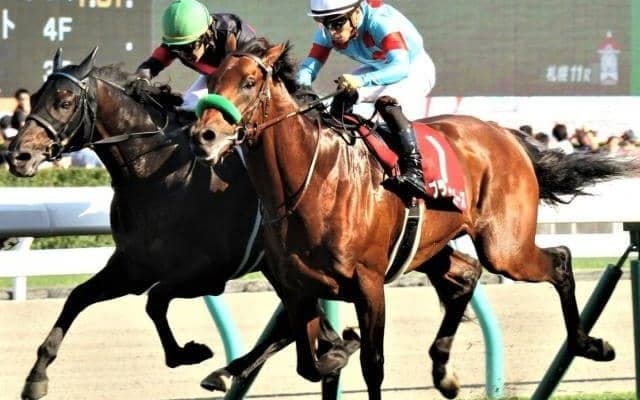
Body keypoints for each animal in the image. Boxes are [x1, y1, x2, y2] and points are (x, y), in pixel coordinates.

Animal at [7, 47, 361, 400]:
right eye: (36, 97)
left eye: (64, 101)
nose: (17, 156)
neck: (157, 173)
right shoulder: (134, 267)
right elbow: (78, 297)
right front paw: (36, 376)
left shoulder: (210, 273)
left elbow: (155, 302)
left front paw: (187, 353)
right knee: (298, 321)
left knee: (293, 320)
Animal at [190, 39, 640, 400]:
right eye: (211, 85)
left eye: (249, 82)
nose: (203, 136)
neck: (312, 182)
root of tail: (506, 135)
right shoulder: (298, 287)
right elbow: (309, 363)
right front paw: (338, 349)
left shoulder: (369, 284)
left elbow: (372, 365)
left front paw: (346, 347)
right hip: (432, 247)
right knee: (467, 275)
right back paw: (444, 373)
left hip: (505, 247)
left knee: (559, 259)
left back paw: (589, 344)